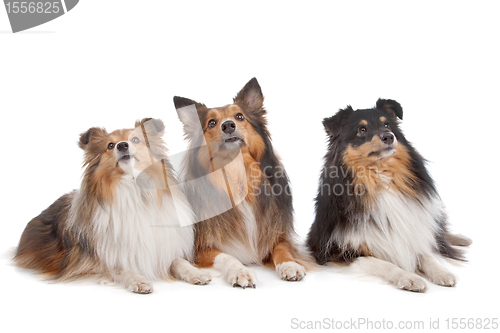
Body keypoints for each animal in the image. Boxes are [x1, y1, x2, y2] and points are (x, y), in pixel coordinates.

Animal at [172, 78, 312, 288]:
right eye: (211, 123)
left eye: (239, 116)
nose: (228, 125)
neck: (237, 174)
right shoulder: (199, 248)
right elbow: (226, 256)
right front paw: (240, 272)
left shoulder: (275, 233)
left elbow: (282, 249)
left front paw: (289, 265)